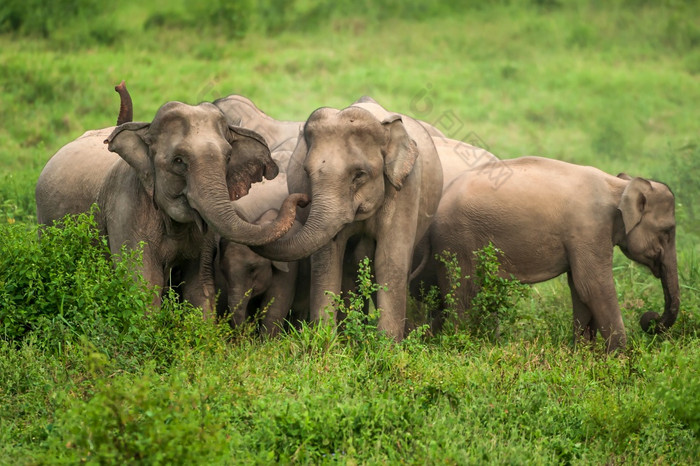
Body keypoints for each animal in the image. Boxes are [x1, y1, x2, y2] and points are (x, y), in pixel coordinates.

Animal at [37, 95, 308, 314]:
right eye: (178, 161)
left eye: (228, 157)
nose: (302, 199)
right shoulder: (125, 208)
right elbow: (143, 283)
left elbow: (199, 287)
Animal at [256, 98, 442, 340]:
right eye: (306, 172)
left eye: (359, 175)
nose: (302, 200)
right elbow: (328, 260)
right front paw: (326, 342)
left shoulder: (407, 188)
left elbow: (389, 260)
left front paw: (386, 346)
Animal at [430, 155, 680, 352]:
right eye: (668, 231)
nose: (650, 318)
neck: (618, 186)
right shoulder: (589, 229)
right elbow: (593, 286)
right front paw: (618, 359)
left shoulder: (582, 239)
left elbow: (579, 288)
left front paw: (584, 354)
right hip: (457, 240)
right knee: (464, 292)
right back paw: (461, 345)